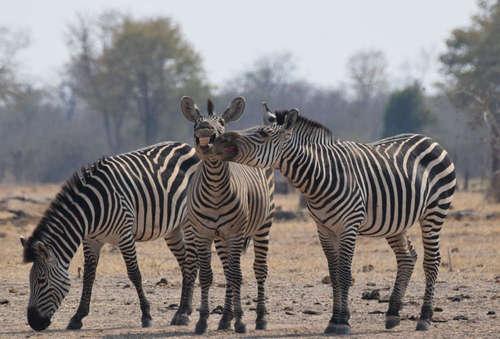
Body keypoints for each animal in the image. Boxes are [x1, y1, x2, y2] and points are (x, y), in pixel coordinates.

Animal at [19, 141, 200, 332]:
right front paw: (78, 317)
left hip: (189, 221)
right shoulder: (91, 240)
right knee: (186, 264)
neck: (90, 212)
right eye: (30, 280)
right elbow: (88, 276)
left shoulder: (124, 236)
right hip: (173, 229)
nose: (34, 322)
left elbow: (134, 274)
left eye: (41, 281)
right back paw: (183, 311)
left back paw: (183, 314)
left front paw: (146, 315)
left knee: (190, 263)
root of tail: (187, 146)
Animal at [180, 96, 276, 334]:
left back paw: (260, 318)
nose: (205, 129)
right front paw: (203, 320)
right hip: (220, 238)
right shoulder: (203, 234)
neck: (214, 186)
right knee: (226, 271)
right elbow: (207, 276)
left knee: (259, 269)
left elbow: (237, 276)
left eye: (221, 122)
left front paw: (241, 321)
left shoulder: (235, 233)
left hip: (263, 226)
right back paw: (225, 319)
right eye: (196, 122)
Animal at [215, 104, 458, 338]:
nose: (219, 140)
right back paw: (392, 314)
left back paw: (424, 318)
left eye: (263, 133)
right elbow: (333, 273)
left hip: (435, 211)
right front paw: (334, 320)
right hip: (395, 222)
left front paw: (342, 322)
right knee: (407, 258)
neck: (320, 177)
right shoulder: (324, 229)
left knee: (432, 260)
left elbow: (344, 273)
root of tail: (428, 139)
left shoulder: (348, 227)